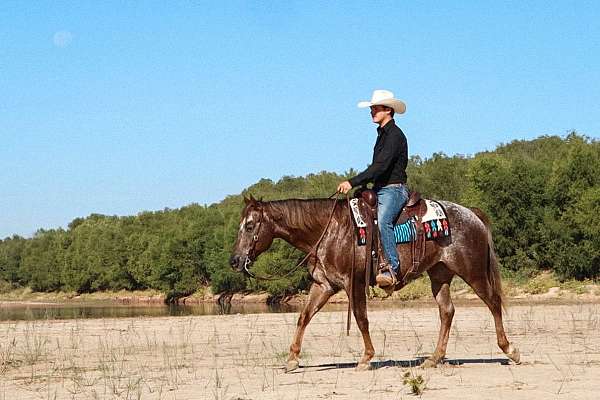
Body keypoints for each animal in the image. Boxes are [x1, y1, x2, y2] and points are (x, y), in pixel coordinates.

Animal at [230, 194, 520, 372]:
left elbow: (361, 318)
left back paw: (510, 350)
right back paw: (433, 359)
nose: (235, 260)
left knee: (493, 302)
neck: (330, 230)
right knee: (447, 312)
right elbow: (304, 317)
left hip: (473, 272)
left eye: (250, 226)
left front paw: (366, 358)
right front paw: (292, 359)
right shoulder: (324, 285)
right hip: (439, 275)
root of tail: (472, 214)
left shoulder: (353, 282)